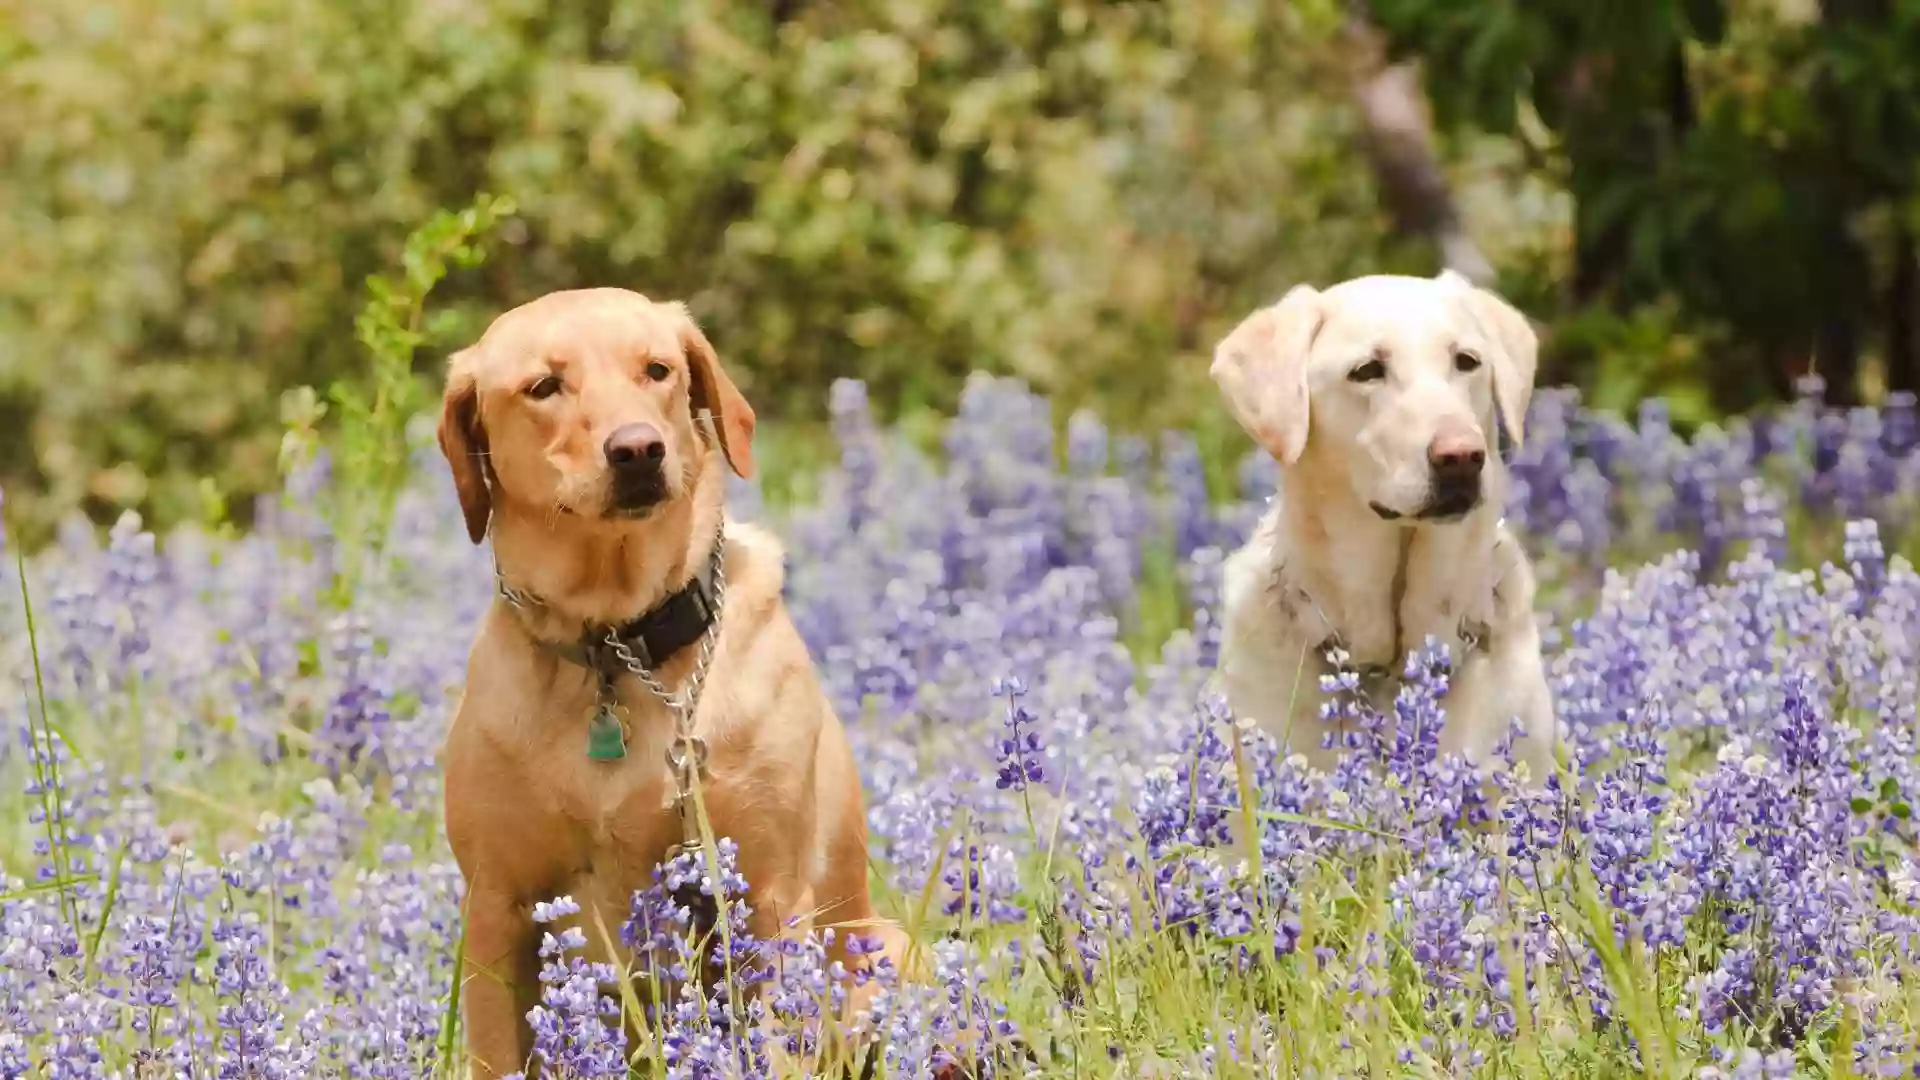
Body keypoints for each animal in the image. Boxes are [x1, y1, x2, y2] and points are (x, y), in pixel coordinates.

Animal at [439, 284, 902, 1068]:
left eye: (657, 369)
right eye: (543, 387)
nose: (637, 449)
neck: (618, 647)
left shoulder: (767, 894)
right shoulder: (497, 907)